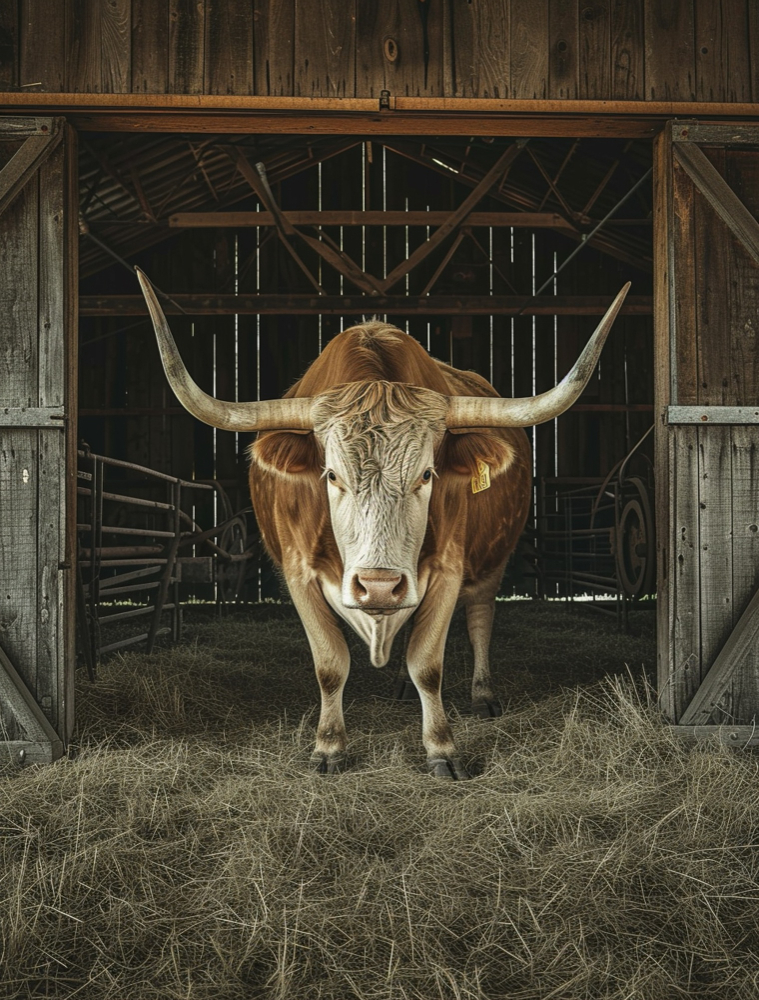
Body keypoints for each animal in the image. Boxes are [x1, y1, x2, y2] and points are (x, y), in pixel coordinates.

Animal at [135, 270, 628, 776]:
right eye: (332, 475)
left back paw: (482, 695)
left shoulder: (449, 568)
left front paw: (442, 748)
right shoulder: (297, 572)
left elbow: (428, 662)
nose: (378, 585)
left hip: (490, 563)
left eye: (427, 474)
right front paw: (329, 747)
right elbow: (330, 663)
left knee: (479, 619)